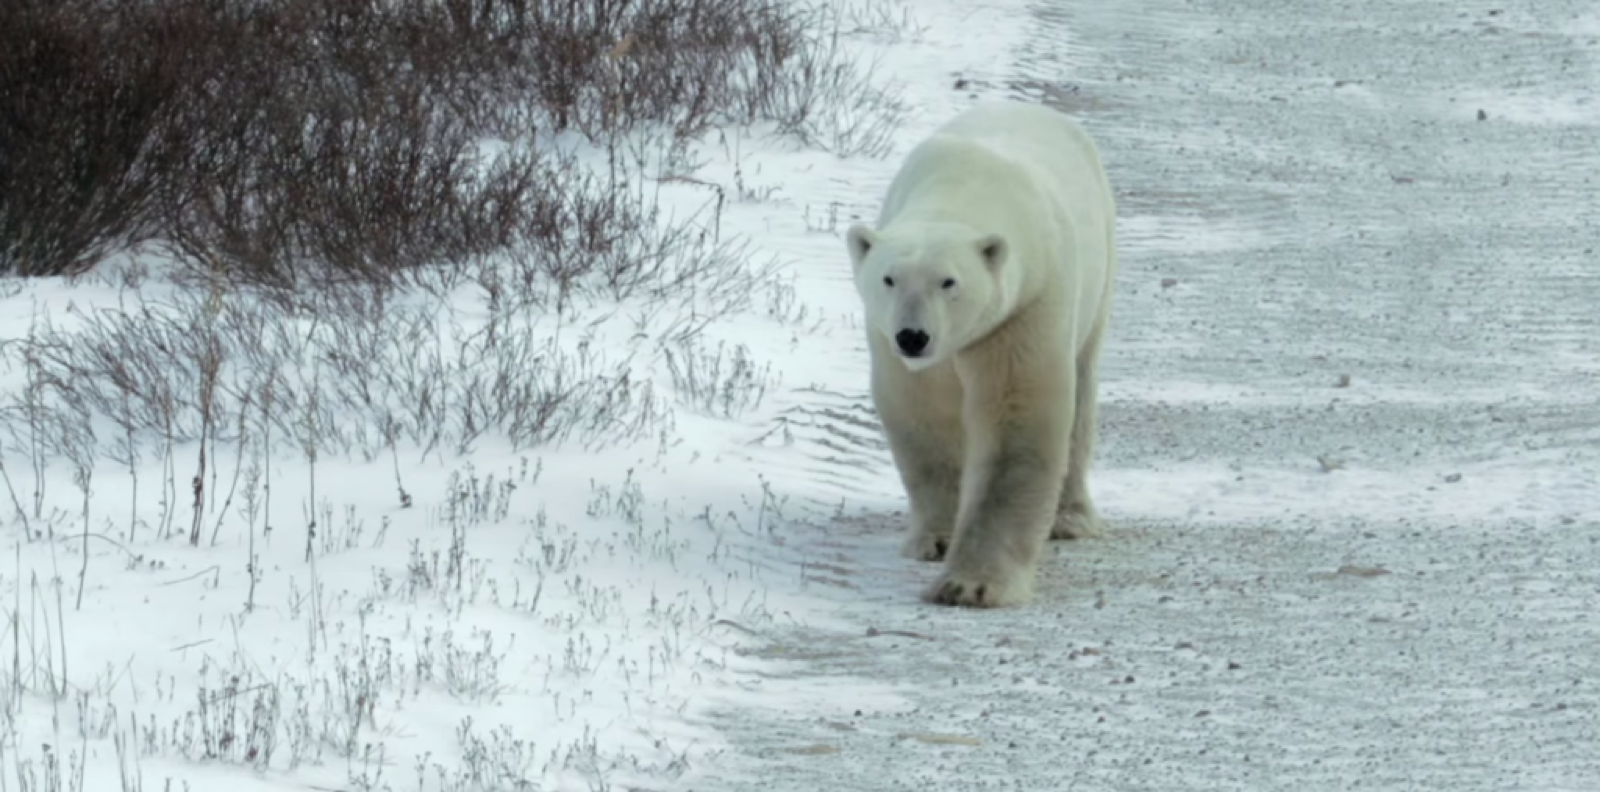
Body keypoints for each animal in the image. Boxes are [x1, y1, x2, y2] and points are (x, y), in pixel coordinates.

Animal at [844, 99, 1120, 608]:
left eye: (949, 281)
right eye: (889, 278)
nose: (912, 336)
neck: (965, 186)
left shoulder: (1025, 304)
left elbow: (1015, 417)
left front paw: (971, 584)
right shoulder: (893, 344)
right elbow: (924, 416)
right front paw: (935, 539)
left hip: (1102, 267)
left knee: (1083, 386)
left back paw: (1071, 518)